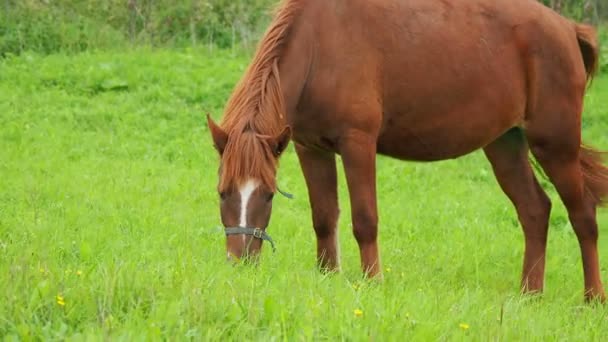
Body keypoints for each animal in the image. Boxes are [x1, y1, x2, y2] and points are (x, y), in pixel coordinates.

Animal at [205, 0, 608, 300]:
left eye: (268, 195)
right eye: (223, 193)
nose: (239, 263)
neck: (319, 45)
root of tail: (568, 30)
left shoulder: (358, 143)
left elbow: (364, 219)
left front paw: (372, 282)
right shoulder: (310, 148)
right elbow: (323, 217)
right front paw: (327, 277)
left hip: (555, 145)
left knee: (583, 215)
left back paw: (593, 298)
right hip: (504, 144)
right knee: (535, 210)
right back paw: (529, 294)